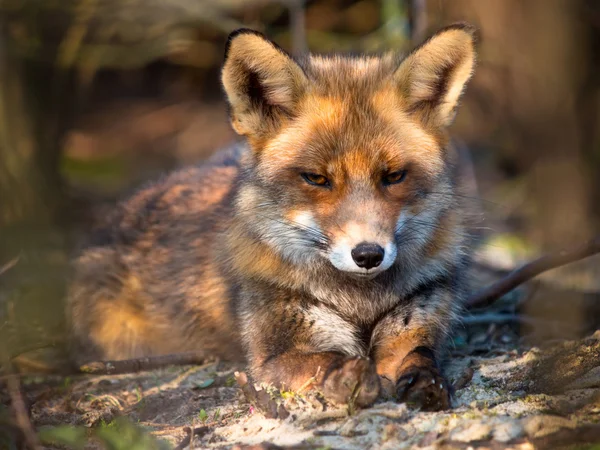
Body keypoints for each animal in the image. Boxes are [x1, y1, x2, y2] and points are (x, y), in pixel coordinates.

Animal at [67, 24, 478, 412]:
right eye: (316, 178)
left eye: (393, 176)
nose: (367, 255)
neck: (359, 303)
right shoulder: (274, 353)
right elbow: (327, 362)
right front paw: (352, 377)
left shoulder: (414, 323)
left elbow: (419, 357)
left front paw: (426, 383)